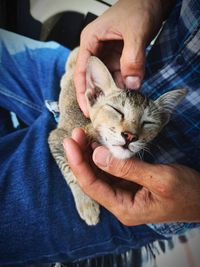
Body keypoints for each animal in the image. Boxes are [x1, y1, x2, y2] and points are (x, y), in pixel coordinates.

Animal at [47, 48, 187, 226]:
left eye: (148, 122)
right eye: (117, 110)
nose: (130, 136)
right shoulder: (56, 137)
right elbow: (70, 171)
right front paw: (87, 204)